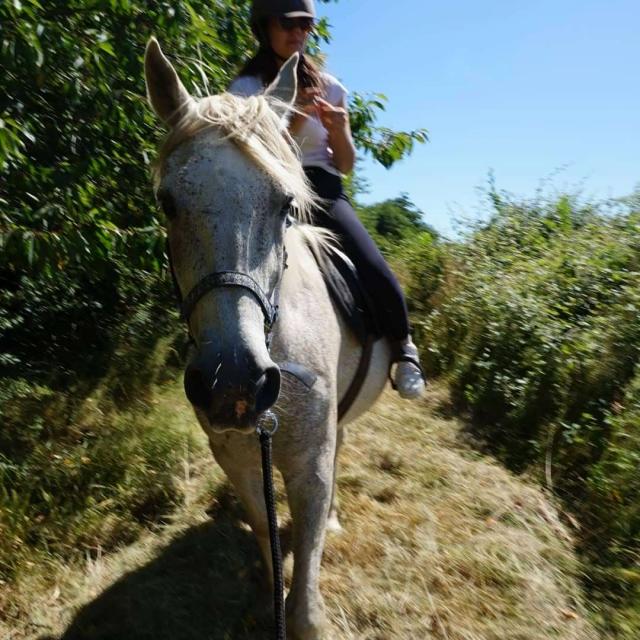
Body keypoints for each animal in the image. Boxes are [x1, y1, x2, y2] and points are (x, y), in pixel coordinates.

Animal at [146, 40, 392, 640]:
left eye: (285, 205)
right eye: (167, 203)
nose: (234, 385)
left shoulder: (310, 463)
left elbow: (305, 603)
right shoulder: (235, 458)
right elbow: (265, 528)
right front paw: (267, 591)